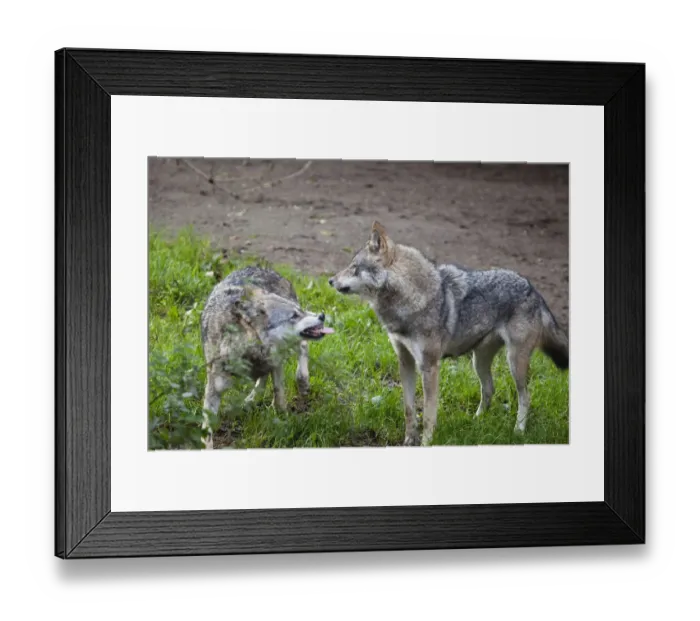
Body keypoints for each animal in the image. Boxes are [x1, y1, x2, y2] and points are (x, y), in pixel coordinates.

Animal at [199, 266, 333, 449]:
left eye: (299, 312)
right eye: (293, 316)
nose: (322, 315)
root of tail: (262, 267)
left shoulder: (276, 363)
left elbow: (278, 393)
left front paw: (283, 417)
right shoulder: (215, 386)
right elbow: (207, 429)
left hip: (291, 346)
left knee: (303, 347)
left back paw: (302, 381)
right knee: (262, 379)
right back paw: (250, 400)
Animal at [329, 221, 568, 446]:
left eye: (354, 267)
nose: (330, 281)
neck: (410, 301)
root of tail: (533, 288)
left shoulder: (429, 367)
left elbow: (428, 414)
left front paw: (426, 443)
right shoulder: (405, 361)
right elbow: (409, 409)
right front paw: (408, 440)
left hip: (514, 363)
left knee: (525, 396)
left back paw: (518, 431)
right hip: (479, 361)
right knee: (489, 389)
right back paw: (476, 421)